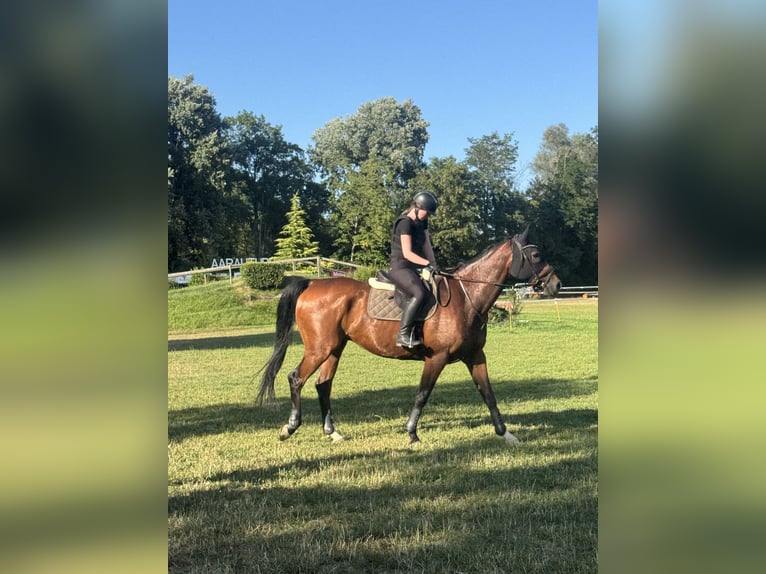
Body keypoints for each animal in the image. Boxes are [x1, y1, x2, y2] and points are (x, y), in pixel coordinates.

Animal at [256, 226, 561, 445]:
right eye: (535, 256)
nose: (555, 284)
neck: (466, 297)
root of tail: (312, 283)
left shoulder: (475, 356)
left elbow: (488, 393)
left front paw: (506, 434)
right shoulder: (436, 358)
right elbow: (422, 395)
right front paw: (412, 434)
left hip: (334, 348)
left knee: (324, 384)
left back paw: (333, 432)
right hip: (319, 348)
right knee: (296, 378)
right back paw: (290, 427)